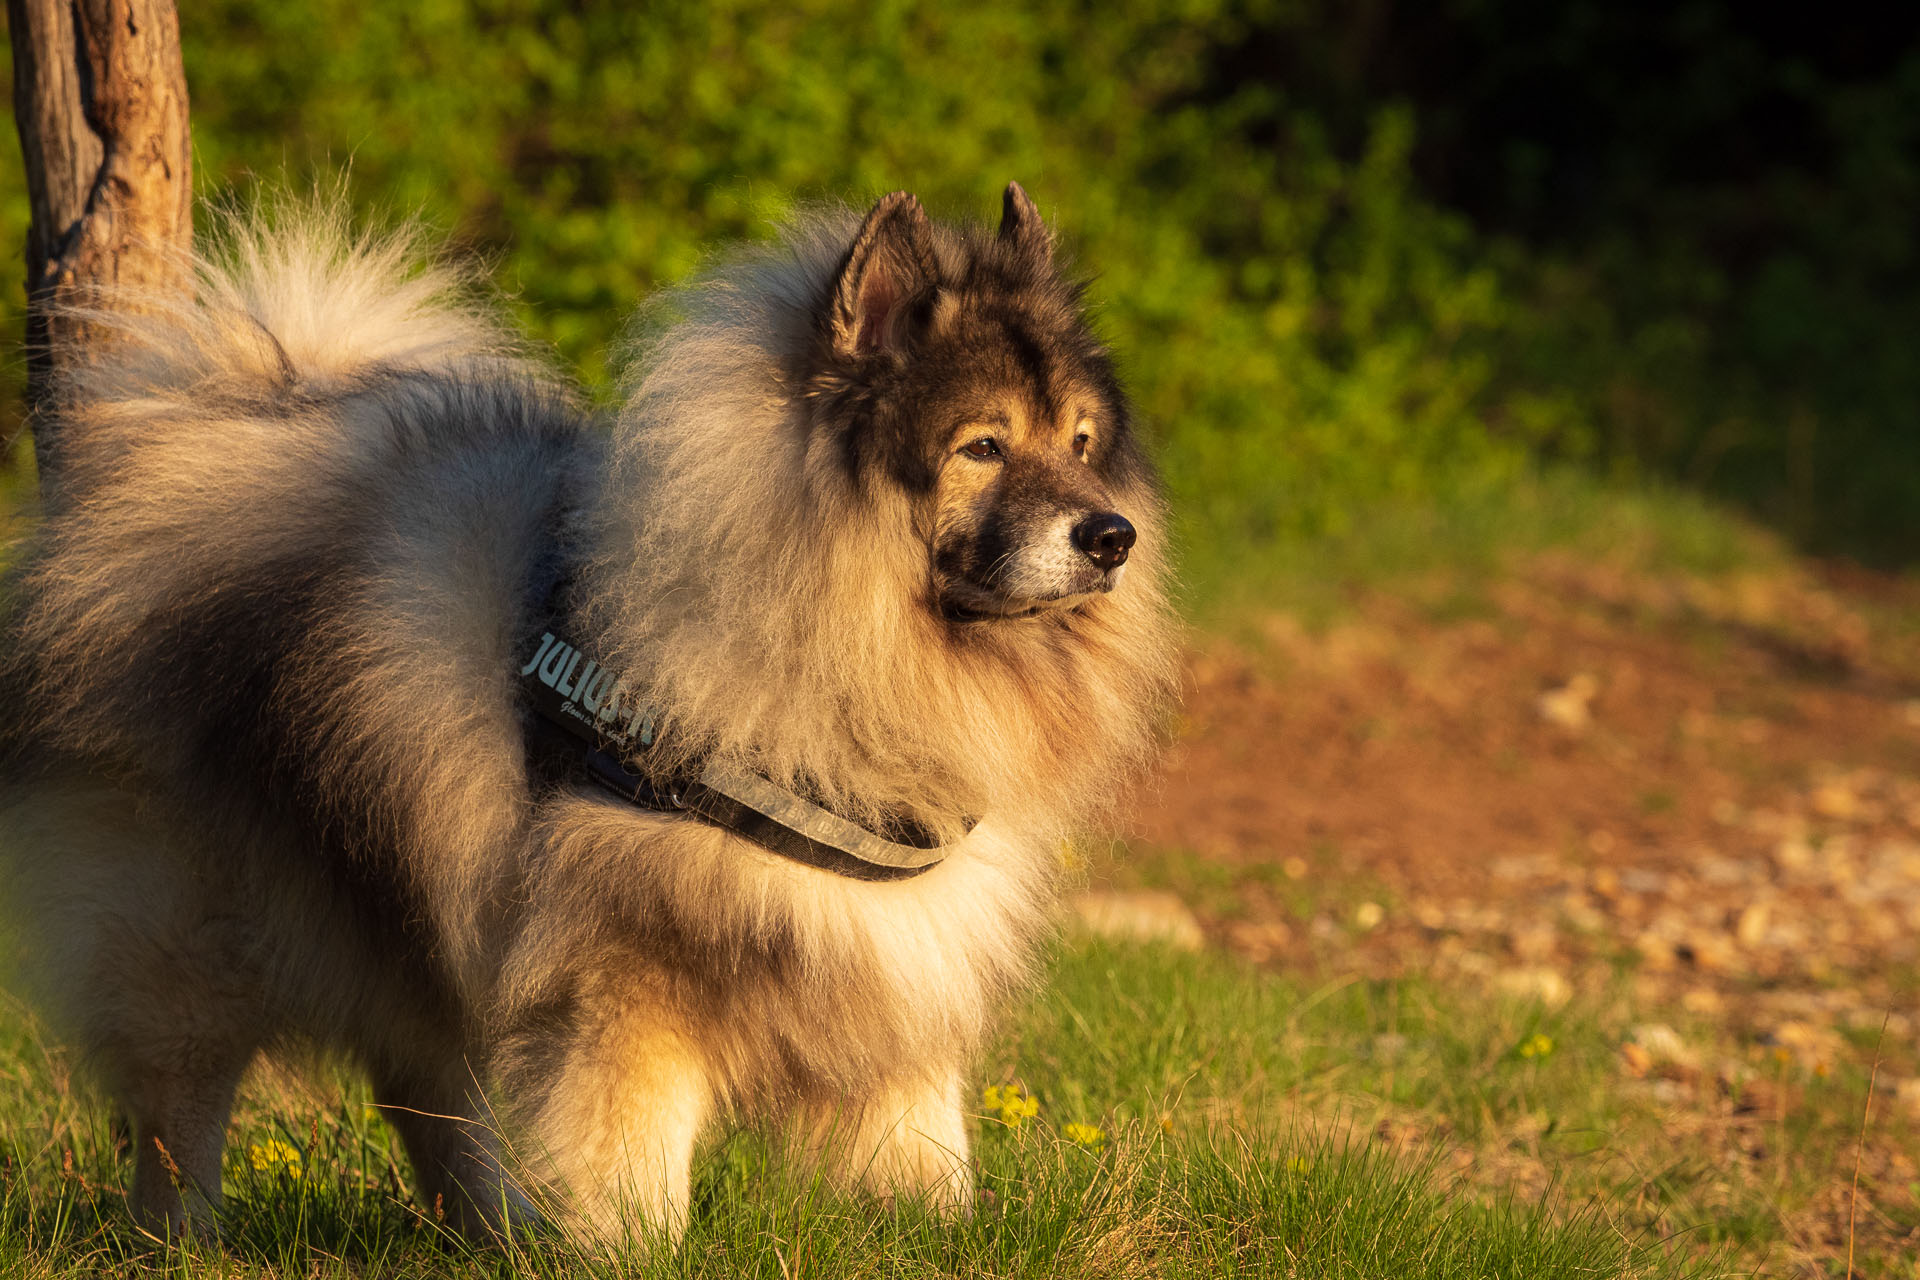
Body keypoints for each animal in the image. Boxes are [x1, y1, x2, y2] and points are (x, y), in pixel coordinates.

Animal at [0, 185, 1175, 1243]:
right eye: (983, 447)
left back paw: (494, 1232)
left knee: (425, 1092)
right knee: (183, 1109)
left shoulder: (896, 953)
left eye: (1080, 442)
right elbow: (634, 1156)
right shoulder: (628, 978)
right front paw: (631, 1246)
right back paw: (182, 1239)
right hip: (192, 932)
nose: (1110, 535)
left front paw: (944, 1230)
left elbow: (922, 1132)